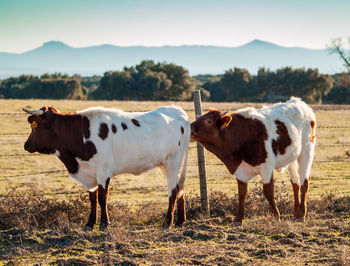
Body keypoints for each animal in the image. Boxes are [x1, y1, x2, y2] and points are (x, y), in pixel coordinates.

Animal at [23, 105, 190, 230]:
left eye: (35, 127)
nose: (26, 145)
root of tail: (178, 111)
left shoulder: (103, 171)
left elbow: (103, 198)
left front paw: (104, 223)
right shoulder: (90, 174)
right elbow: (92, 198)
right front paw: (90, 224)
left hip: (173, 162)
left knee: (173, 191)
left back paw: (167, 223)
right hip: (168, 164)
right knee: (180, 188)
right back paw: (180, 221)